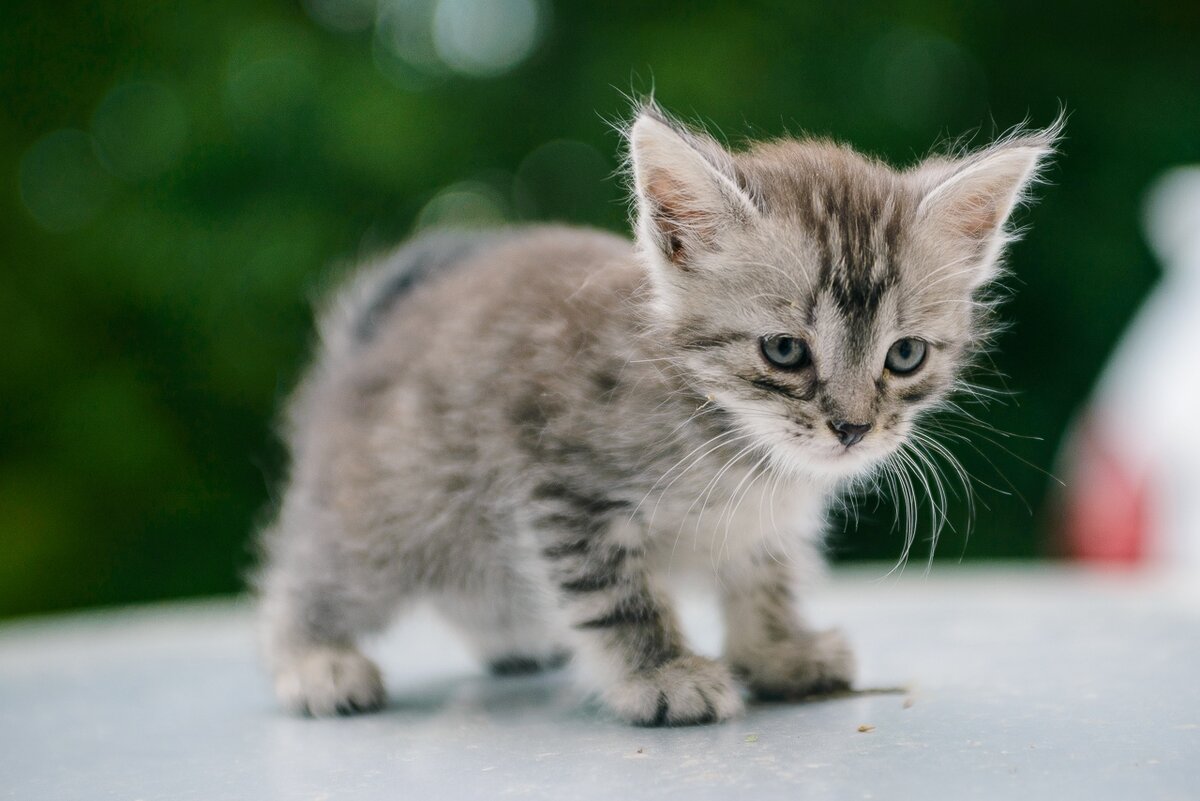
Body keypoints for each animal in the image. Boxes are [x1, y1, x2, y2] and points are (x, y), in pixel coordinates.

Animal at [255, 103, 1060, 724]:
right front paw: (663, 673)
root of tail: (361, 347)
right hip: (386, 515)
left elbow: (766, 580)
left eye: (904, 356)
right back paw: (315, 661)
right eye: (785, 351)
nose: (853, 428)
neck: (735, 441)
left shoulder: (763, 527)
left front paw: (779, 652)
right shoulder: (563, 489)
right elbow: (617, 596)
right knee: (308, 576)